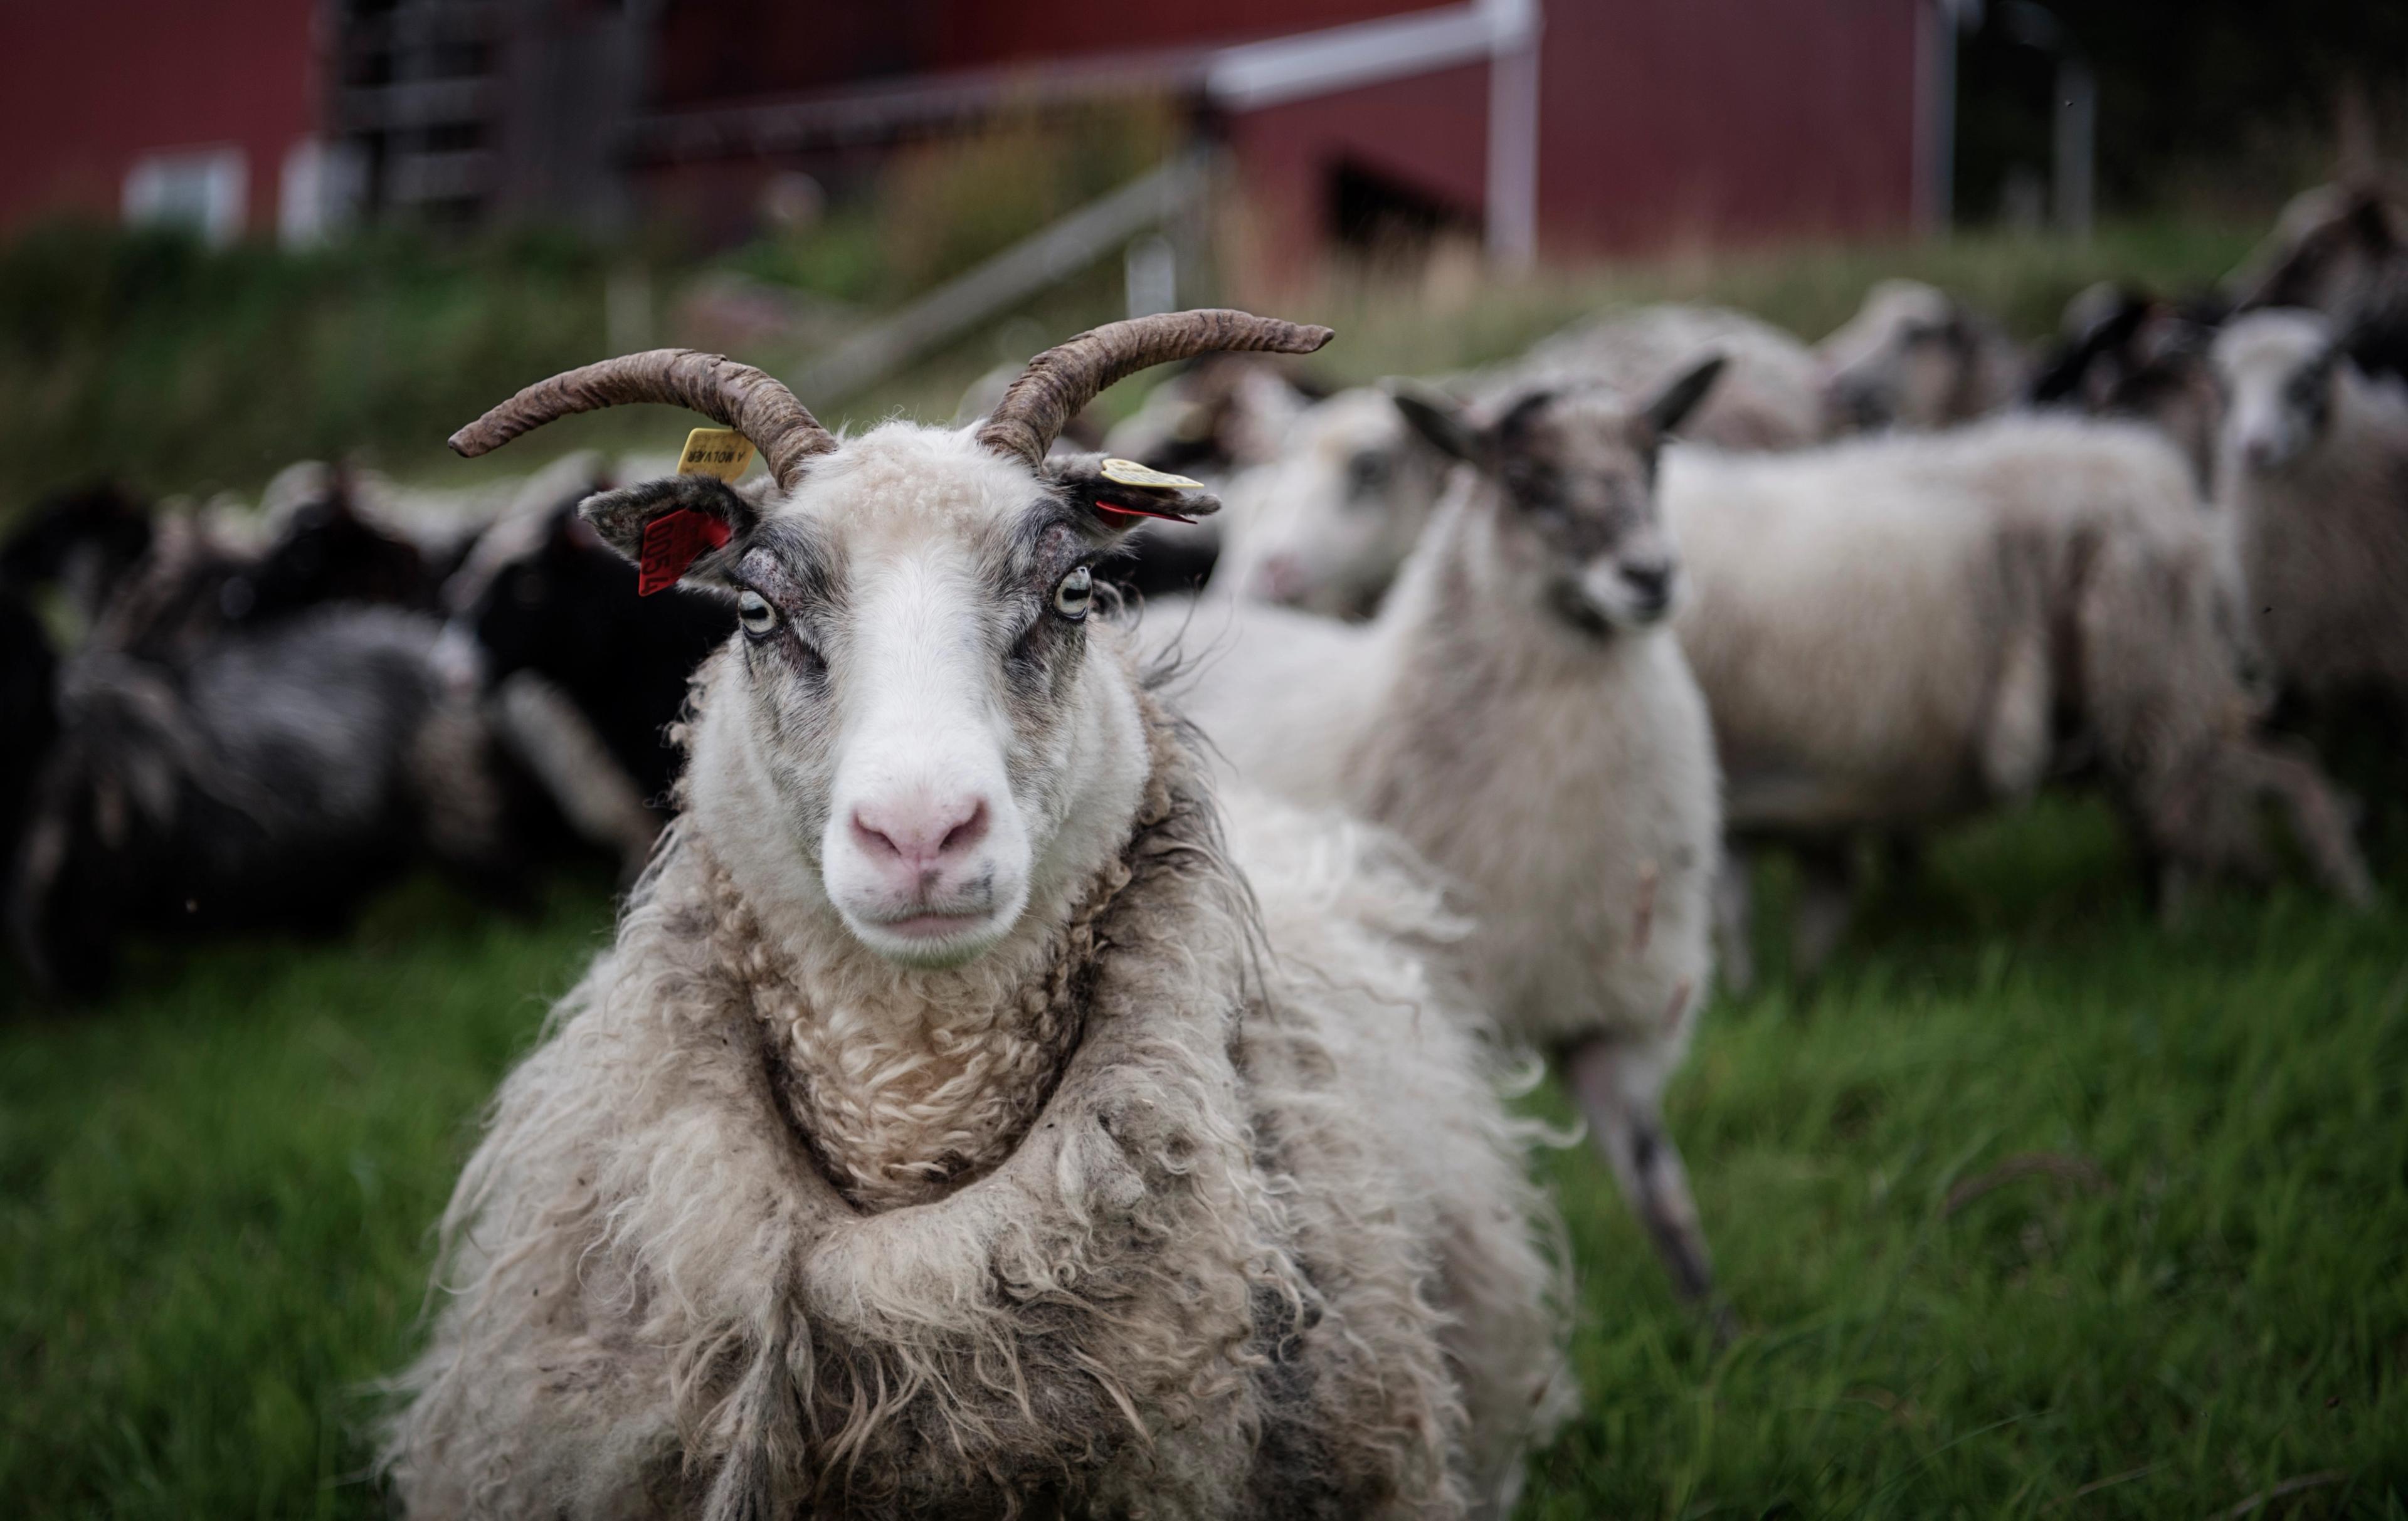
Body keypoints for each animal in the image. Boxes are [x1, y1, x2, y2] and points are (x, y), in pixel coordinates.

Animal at [1141, 362, 1731, 1306]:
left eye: (1652, 463)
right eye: (1524, 483)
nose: (1650, 576)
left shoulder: (1619, 1016)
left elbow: (1664, 1196)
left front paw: (1720, 1328)